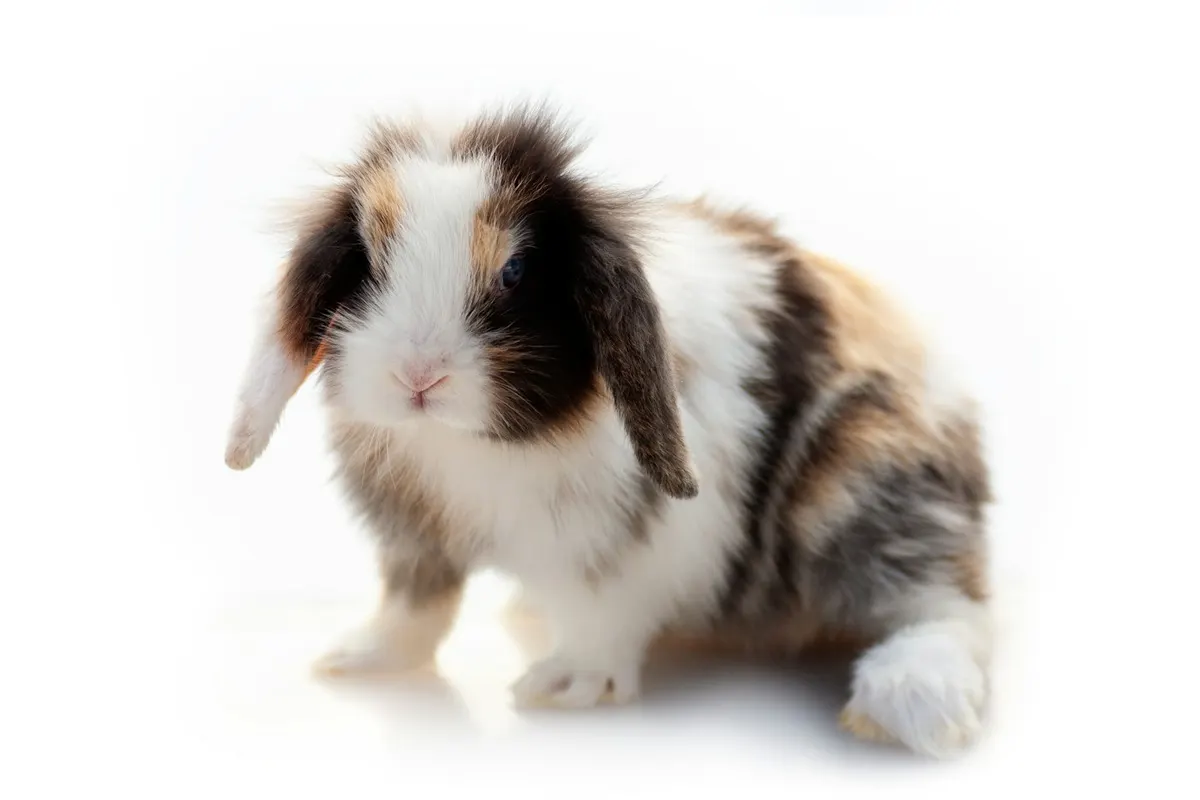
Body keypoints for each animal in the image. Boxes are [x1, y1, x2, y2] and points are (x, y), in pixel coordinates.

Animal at [225, 104, 994, 758]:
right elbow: (416, 607)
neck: (472, 445)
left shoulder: (629, 546)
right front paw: (355, 660)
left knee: (947, 603)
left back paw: (909, 696)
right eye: (366, 261)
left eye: (515, 271)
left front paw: (563, 686)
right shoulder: (417, 539)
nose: (418, 376)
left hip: (856, 487)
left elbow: (603, 614)